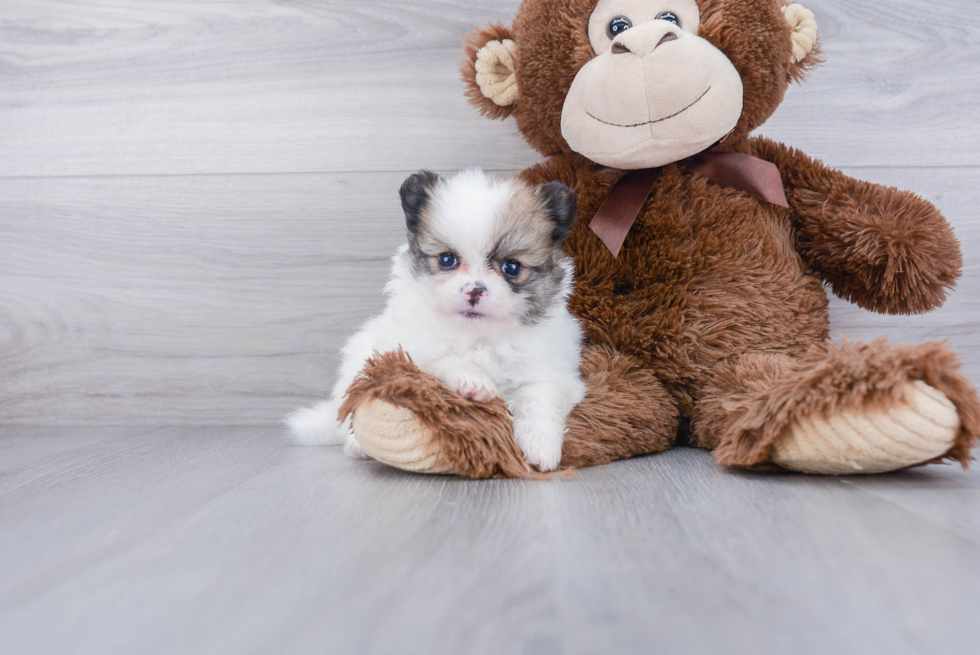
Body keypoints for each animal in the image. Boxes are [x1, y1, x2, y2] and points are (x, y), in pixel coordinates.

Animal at [288, 169, 584, 472]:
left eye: (511, 267)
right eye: (447, 260)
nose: (474, 290)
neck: (477, 336)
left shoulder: (550, 373)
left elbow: (538, 398)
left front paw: (540, 446)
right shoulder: (411, 355)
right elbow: (444, 361)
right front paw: (472, 380)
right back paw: (359, 445)